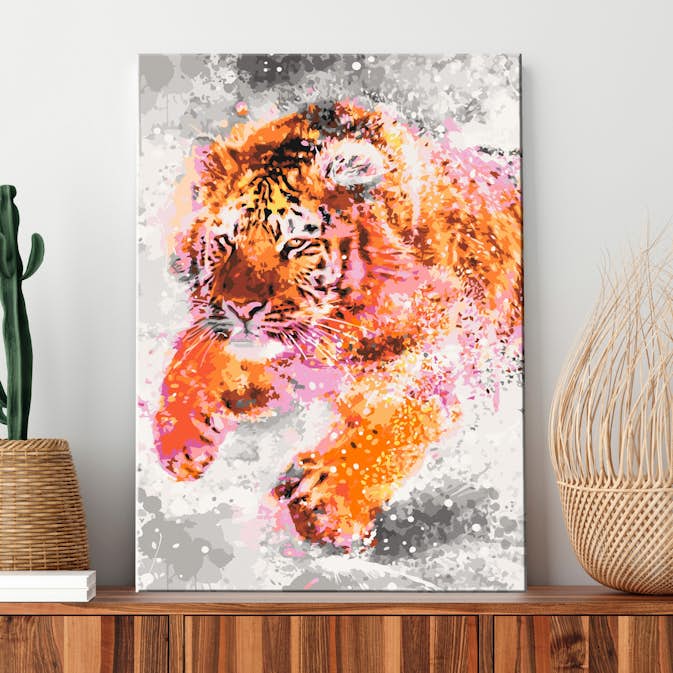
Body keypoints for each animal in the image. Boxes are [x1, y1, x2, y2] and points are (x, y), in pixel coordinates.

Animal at [153, 100, 522, 550]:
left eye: (295, 243)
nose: (242, 309)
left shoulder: (441, 364)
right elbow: (191, 355)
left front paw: (323, 502)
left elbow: (388, 426)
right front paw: (180, 441)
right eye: (226, 242)